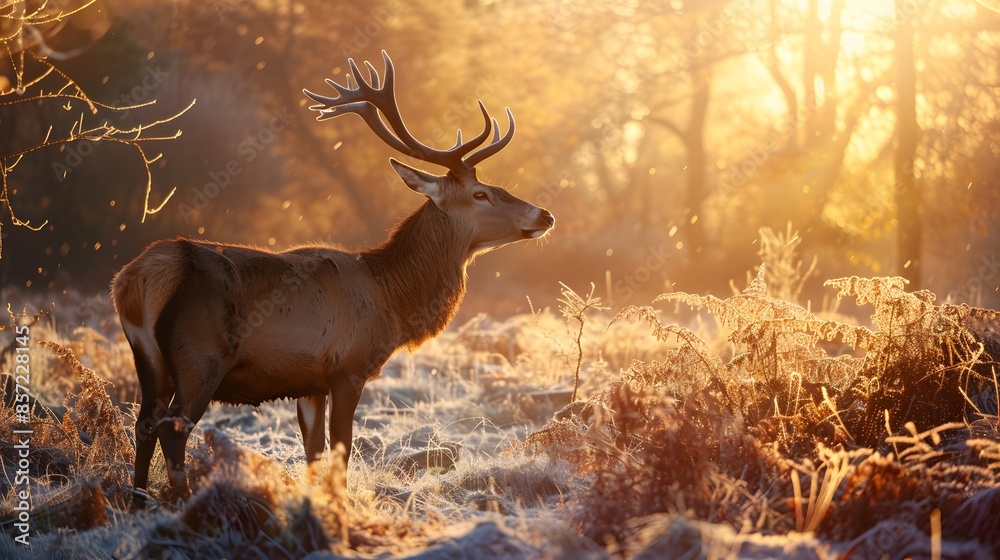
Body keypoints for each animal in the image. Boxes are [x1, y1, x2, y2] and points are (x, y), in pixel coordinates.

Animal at [112, 51, 554, 507]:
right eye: (481, 194)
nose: (544, 214)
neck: (392, 298)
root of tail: (137, 278)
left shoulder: (309, 382)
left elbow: (314, 452)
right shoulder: (349, 368)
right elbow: (341, 449)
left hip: (148, 358)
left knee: (143, 424)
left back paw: (138, 500)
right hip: (201, 357)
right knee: (171, 428)